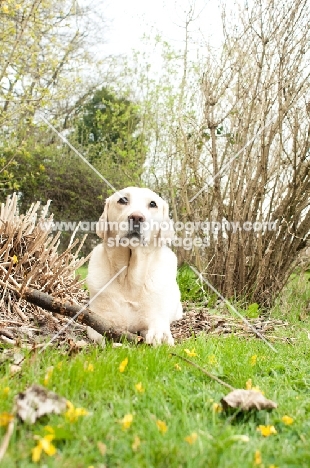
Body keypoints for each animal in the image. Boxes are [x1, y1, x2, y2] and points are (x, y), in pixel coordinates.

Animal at [86, 186, 183, 344]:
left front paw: (160, 336)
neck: (129, 279)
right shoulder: (99, 316)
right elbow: (100, 333)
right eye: (123, 200)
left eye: (153, 204)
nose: (137, 217)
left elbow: (158, 327)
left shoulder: (156, 315)